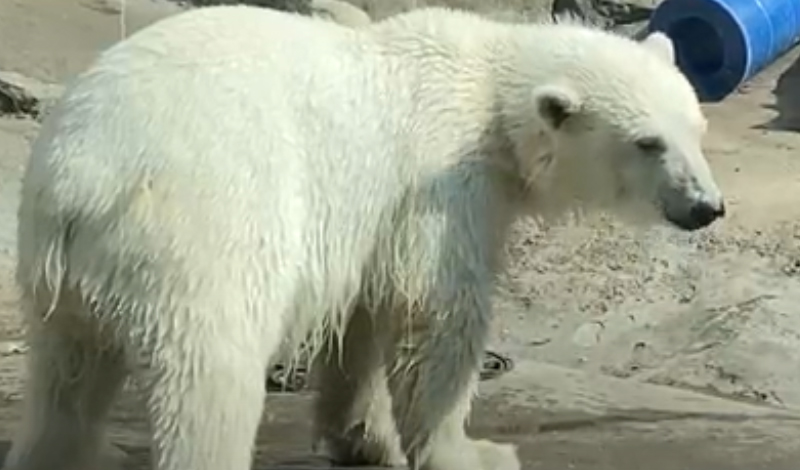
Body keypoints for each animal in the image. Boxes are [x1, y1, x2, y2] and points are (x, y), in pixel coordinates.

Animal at [1, 3, 724, 470]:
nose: (707, 207)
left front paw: (364, 439)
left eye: (695, 129)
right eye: (648, 143)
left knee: (66, 382)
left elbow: (364, 320)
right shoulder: (443, 179)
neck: (489, 90)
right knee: (209, 375)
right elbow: (434, 315)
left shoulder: (377, 221)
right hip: (200, 231)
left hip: (61, 274)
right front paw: (475, 452)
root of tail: (83, 181)